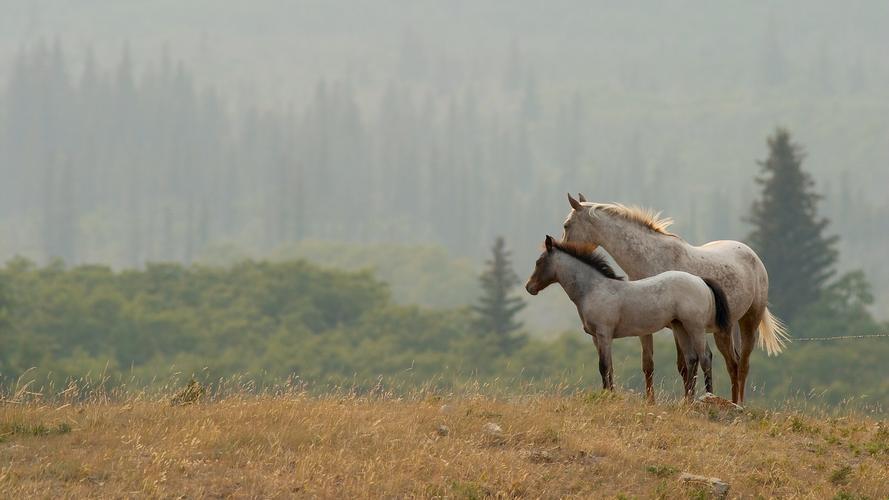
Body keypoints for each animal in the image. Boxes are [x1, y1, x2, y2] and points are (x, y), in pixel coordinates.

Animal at [524, 236, 732, 400]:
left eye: (539, 262)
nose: (529, 287)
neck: (594, 289)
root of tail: (700, 280)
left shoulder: (604, 334)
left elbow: (603, 366)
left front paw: (607, 396)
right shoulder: (596, 338)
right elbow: (609, 367)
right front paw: (610, 394)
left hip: (695, 327)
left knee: (705, 357)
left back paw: (708, 397)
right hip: (680, 326)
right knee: (691, 359)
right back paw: (687, 402)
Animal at [560, 193, 784, 404]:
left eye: (566, 225)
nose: (561, 248)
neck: (652, 258)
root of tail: (751, 254)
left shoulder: (678, 326)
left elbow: (685, 365)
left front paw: (688, 400)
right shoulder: (646, 326)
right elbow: (649, 364)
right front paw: (652, 402)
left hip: (749, 321)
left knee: (742, 364)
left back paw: (739, 404)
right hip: (724, 329)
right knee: (733, 364)